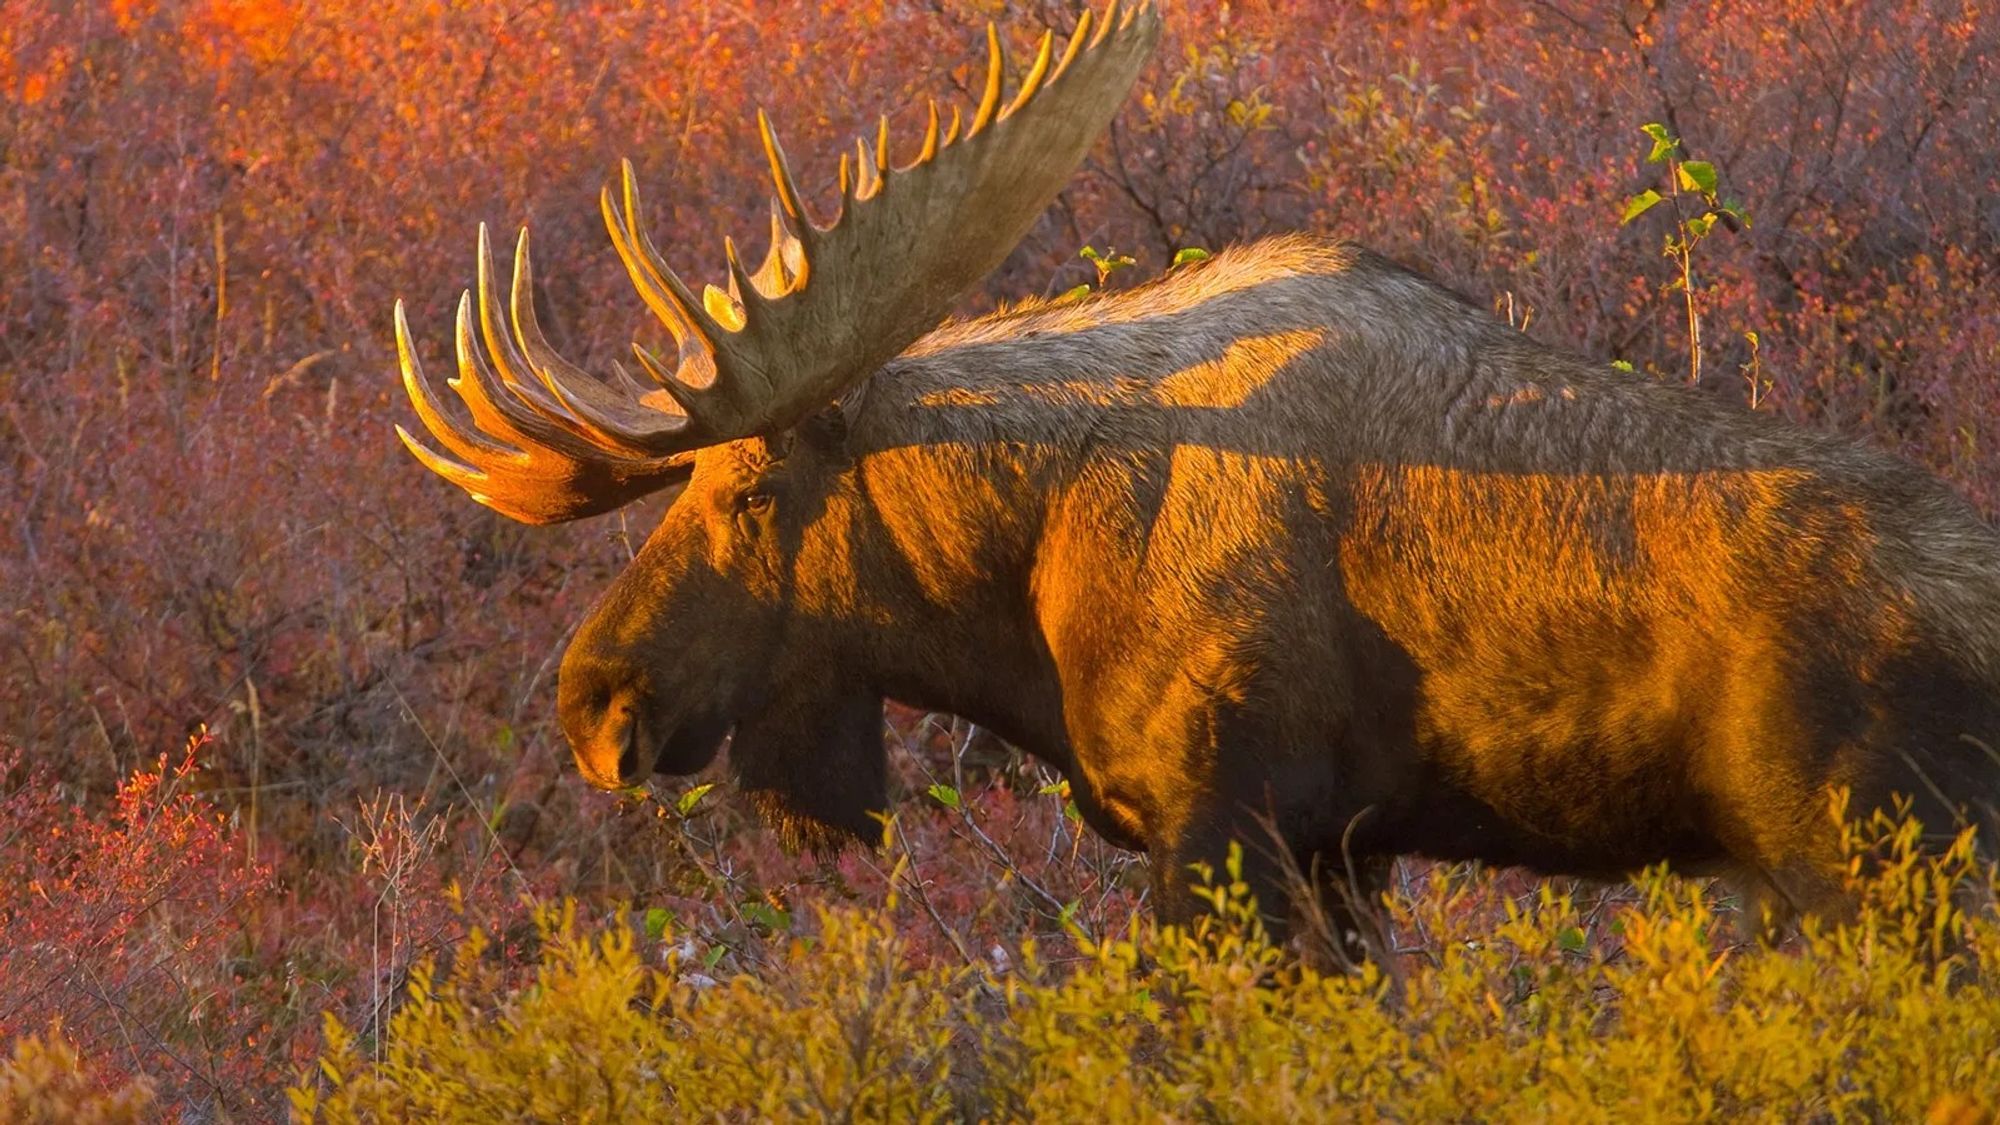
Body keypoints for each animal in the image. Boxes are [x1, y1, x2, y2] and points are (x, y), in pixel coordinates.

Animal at [390, 2, 2000, 936]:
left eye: (742, 491)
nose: (592, 705)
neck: (1024, 592)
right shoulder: (1349, 846)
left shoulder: (1224, 821)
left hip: (1874, 861)